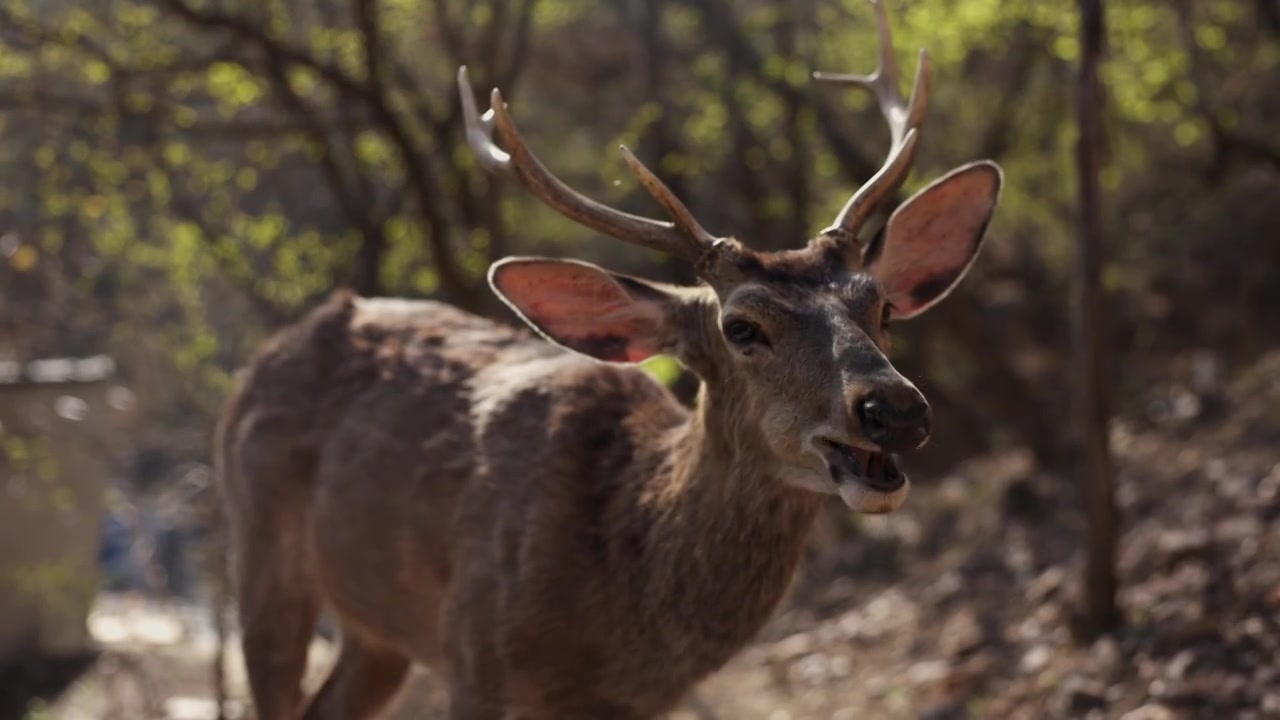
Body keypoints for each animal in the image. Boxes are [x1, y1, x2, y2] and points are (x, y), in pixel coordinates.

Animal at [217, 2, 998, 712]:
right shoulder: (475, 651)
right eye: (743, 326)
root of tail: (267, 354)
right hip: (263, 557)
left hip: (379, 629)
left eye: (882, 305)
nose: (894, 408)